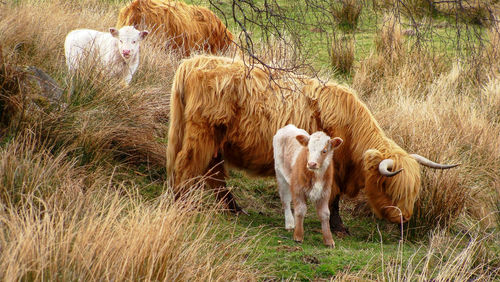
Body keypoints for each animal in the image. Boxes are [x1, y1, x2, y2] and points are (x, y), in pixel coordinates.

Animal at [166, 54, 458, 231]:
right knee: (187, 167)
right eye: (392, 189)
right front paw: (338, 227)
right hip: (201, 136)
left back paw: (236, 210)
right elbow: (334, 197)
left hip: (215, 143)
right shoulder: (333, 167)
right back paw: (181, 203)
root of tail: (193, 62)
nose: (404, 219)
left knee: (214, 175)